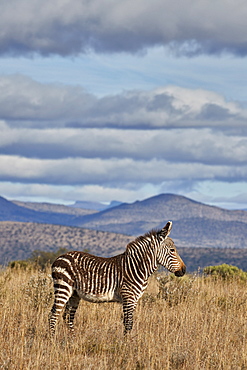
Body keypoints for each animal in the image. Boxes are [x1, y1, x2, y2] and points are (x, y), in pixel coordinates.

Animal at [49, 221, 186, 336]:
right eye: (172, 250)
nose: (184, 270)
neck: (137, 268)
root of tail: (59, 257)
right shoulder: (128, 297)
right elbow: (128, 323)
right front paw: (126, 345)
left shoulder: (134, 299)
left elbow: (128, 322)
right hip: (63, 288)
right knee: (53, 314)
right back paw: (52, 340)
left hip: (74, 294)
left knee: (67, 317)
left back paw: (72, 340)